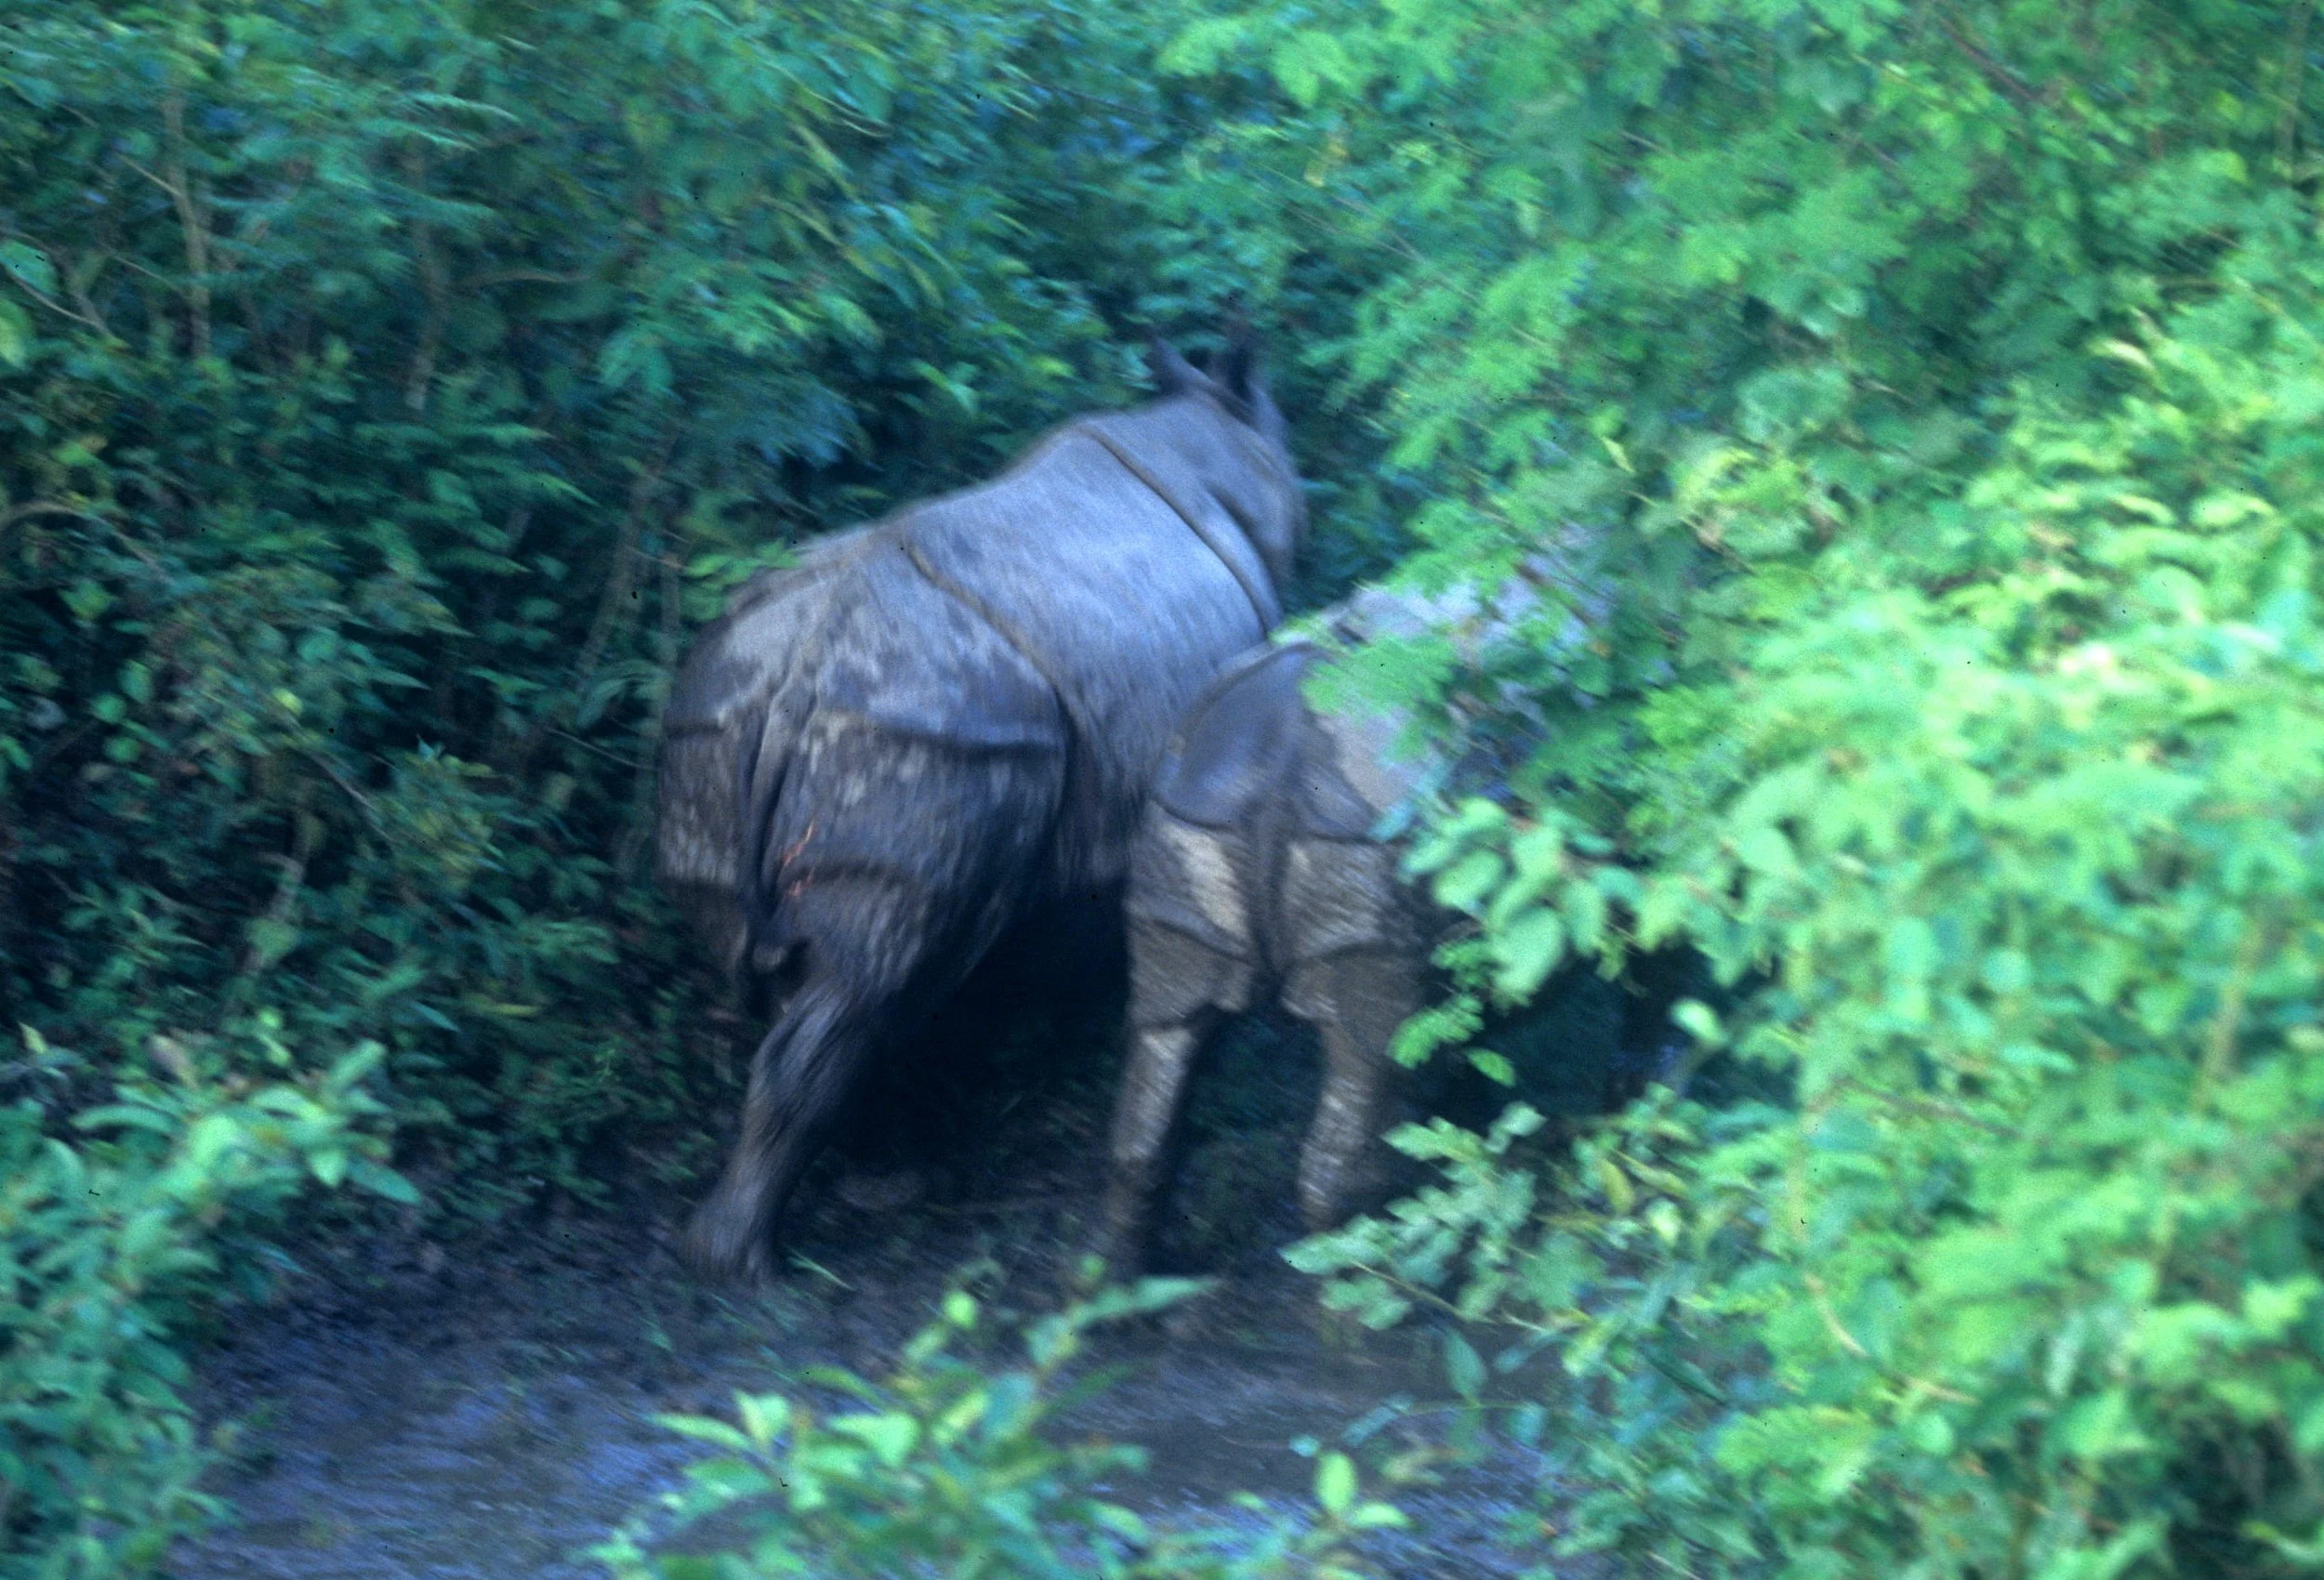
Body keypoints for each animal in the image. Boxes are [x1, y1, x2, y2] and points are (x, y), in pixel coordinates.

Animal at [656, 336, 1305, 1279]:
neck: (1225, 433)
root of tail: (802, 674)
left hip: (720, 718)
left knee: (824, 983)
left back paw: (842, 1198)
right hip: (928, 733)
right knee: (878, 976)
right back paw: (753, 1261)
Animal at [1098, 574, 1687, 1271]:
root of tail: (1277, 763)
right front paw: (1645, 1106)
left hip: (1184, 816)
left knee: (1167, 1029)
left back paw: (1117, 1288)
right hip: (1385, 839)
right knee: (1371, 1064)